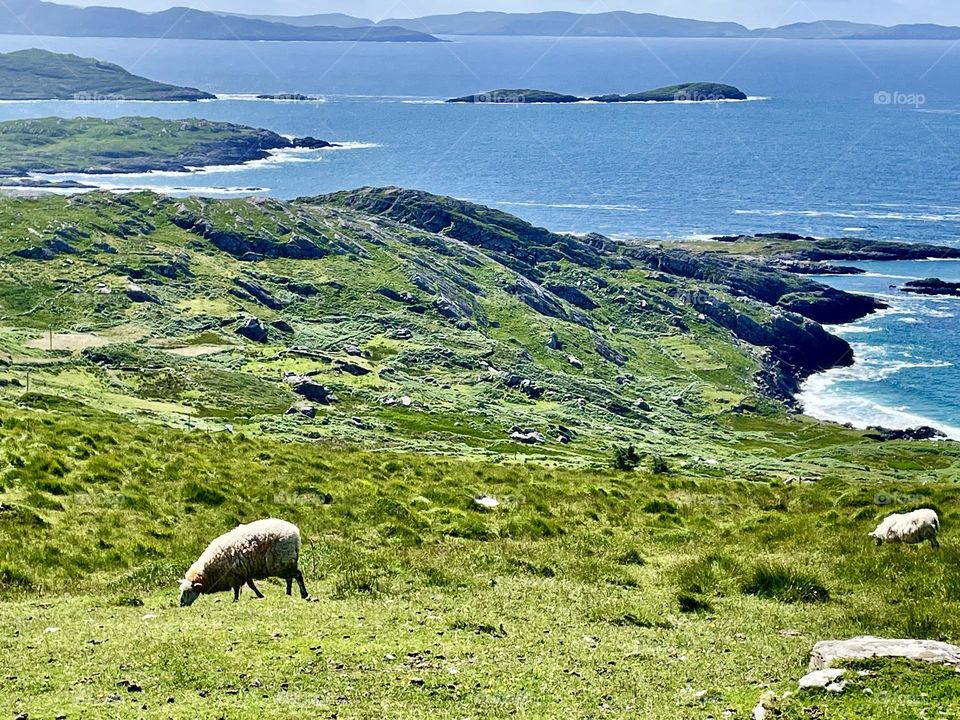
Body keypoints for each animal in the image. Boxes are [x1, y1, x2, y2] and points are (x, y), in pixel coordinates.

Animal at [178, 516, 310, 608]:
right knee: (290, 578)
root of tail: (295, 533)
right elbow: (251, 585)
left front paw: (235, 600)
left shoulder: (233, 575)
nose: (181, 604)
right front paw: (259, 595)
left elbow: (237, 589)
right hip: (285, 562)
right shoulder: (244, 572)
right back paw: (288, 593)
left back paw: (303, 593)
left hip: (282, 561)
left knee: (297, 575)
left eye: (188, 592)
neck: (209, 571)